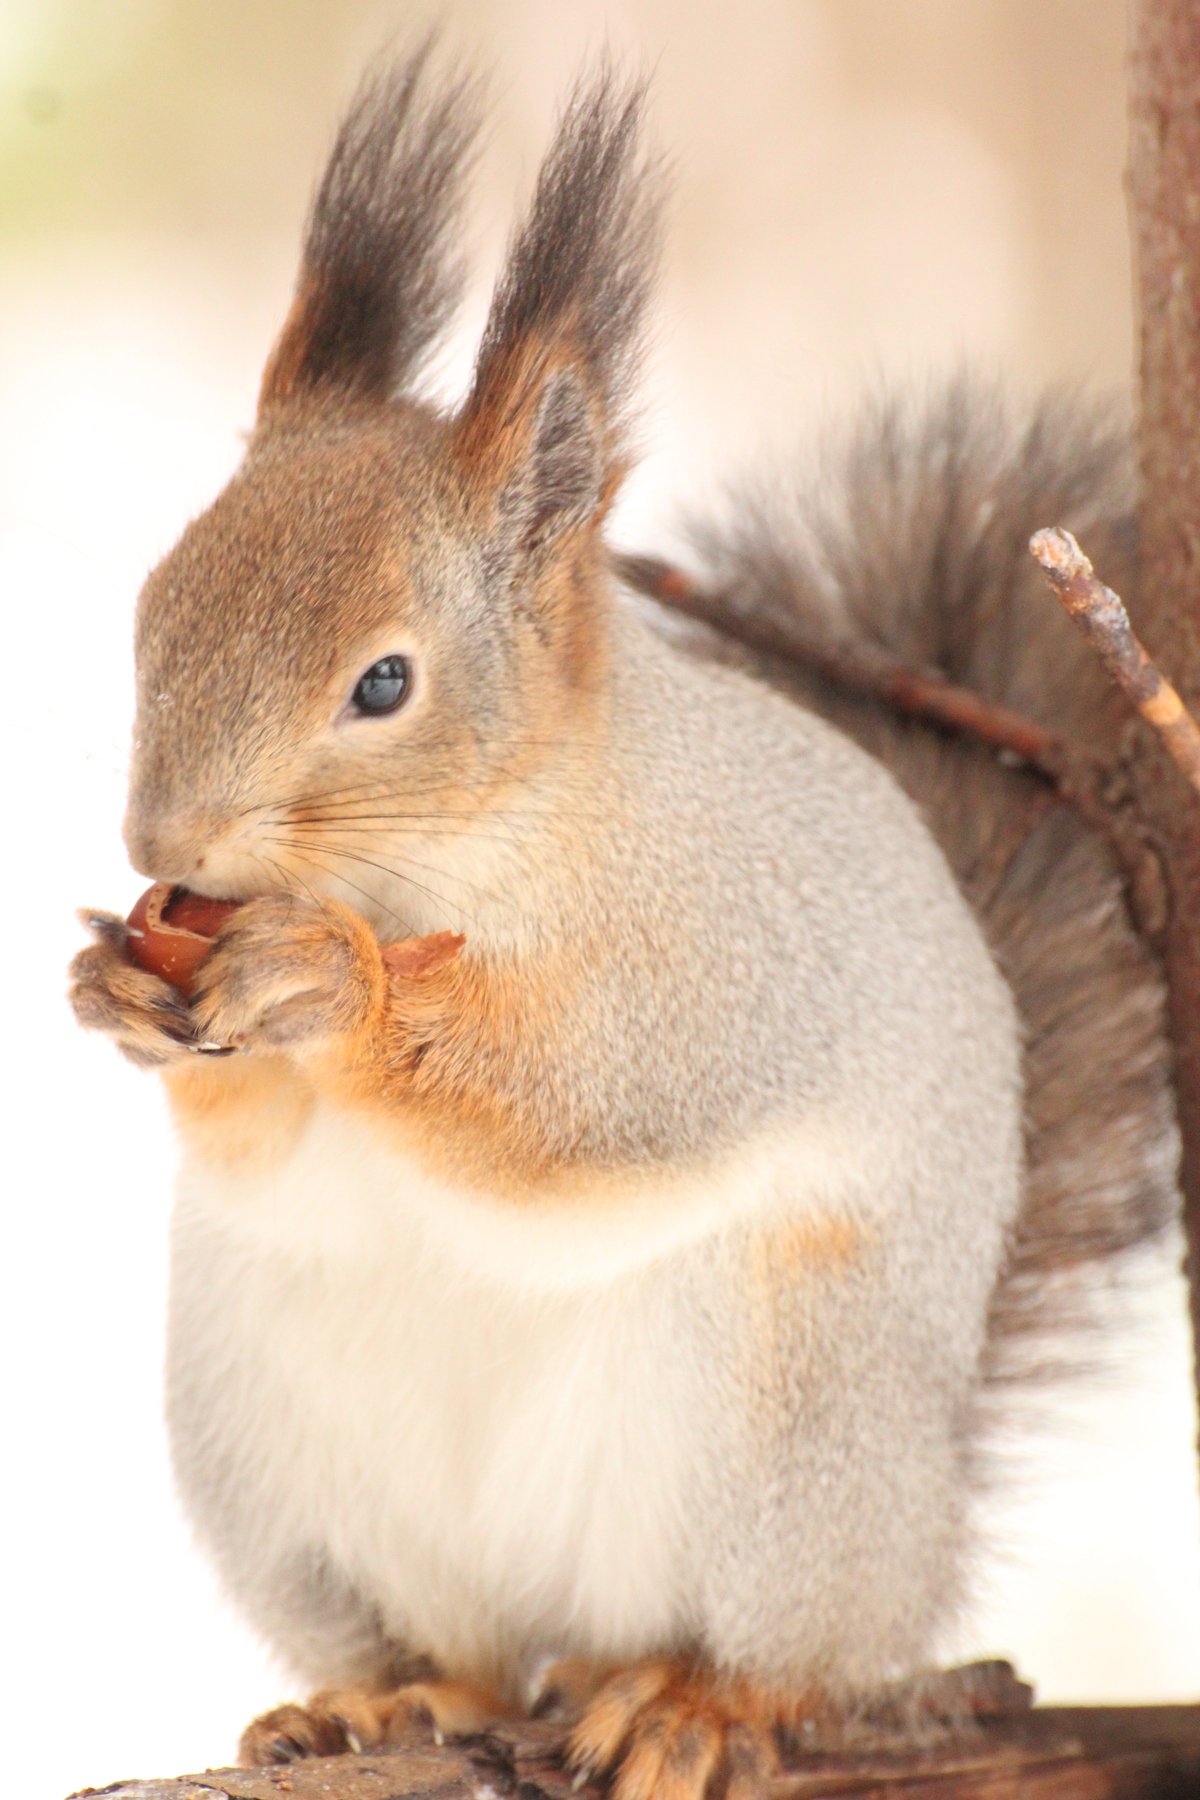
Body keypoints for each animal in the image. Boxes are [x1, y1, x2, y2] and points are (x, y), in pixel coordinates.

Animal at [70, 42, 1180, 1800]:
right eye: (155, 605)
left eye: (385, 683)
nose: (160, 844)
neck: (451, 864)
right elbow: (253, 1131)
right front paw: (113, 988)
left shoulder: (719, 959)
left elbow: (591, 1107)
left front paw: (340, 991)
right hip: (275, 1444)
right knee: (457, 1645)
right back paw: (388, 1698)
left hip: (785, 1424)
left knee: (763, 1651)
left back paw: (694, 1703)